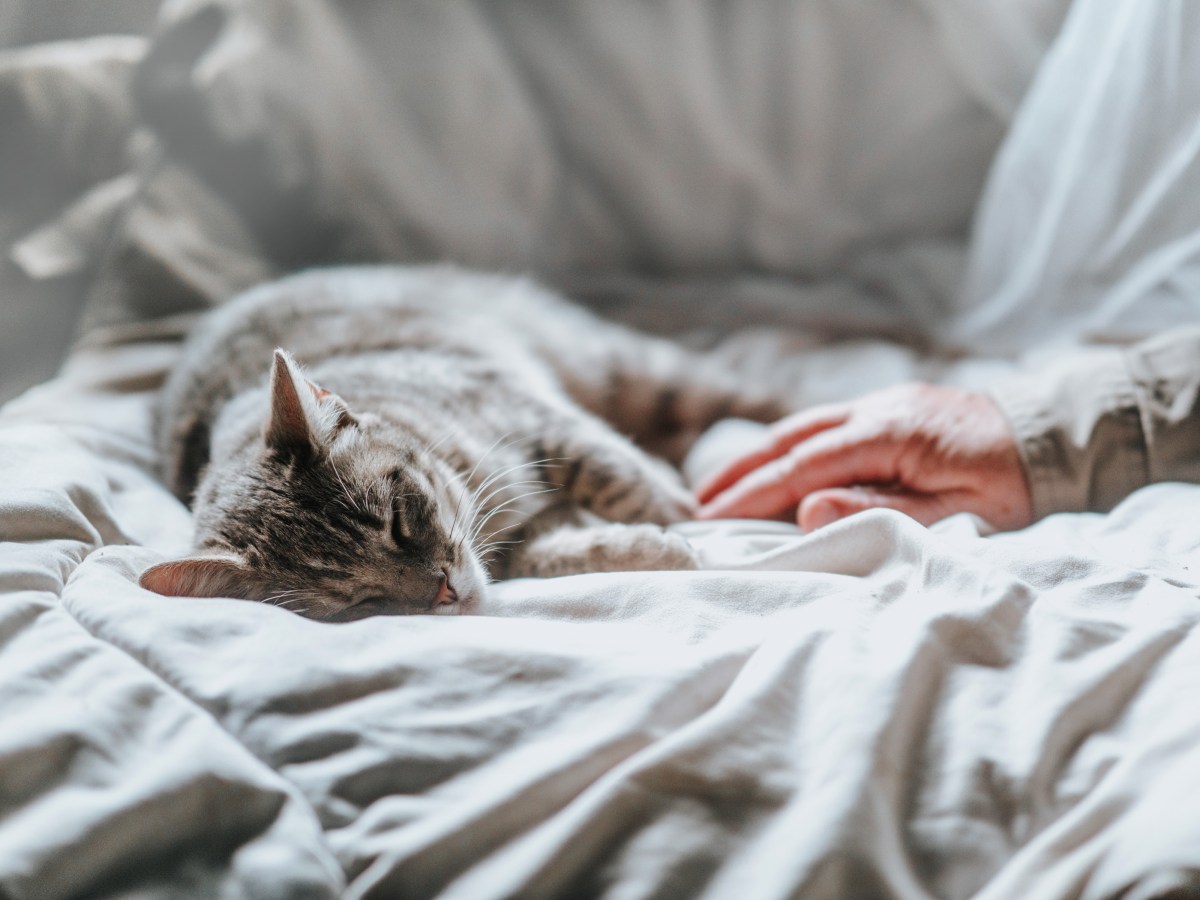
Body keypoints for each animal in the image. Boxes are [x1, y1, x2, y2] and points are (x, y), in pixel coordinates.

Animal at [140, 267, 792, 619]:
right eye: (360, 601)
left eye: (399, 523)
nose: (445, 591)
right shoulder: (520, 540)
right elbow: (557, 554)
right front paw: (648, 546)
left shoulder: (535, 416)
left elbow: (614, 476)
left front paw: (679, 515)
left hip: (635, 370)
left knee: (752, 398)